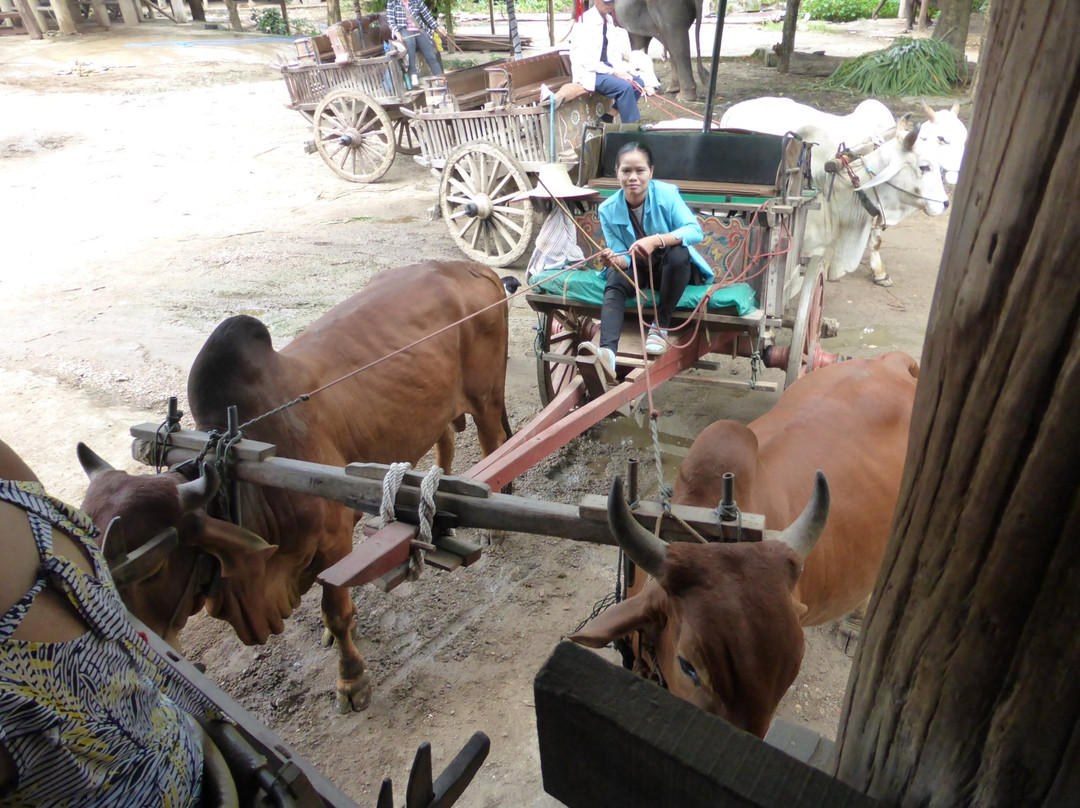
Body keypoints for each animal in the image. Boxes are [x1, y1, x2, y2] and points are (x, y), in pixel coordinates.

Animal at [77, 260, 514, 712]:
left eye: (151, 567)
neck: (245, 486)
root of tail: (468, 266)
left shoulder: (335, 541)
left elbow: (336, 613)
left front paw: (351, 681)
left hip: (486, 399)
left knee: (495, 443)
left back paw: (495, 526)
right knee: (447, 439)